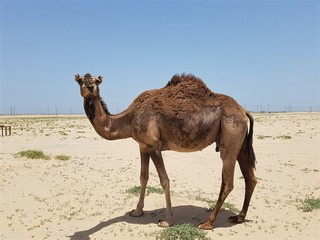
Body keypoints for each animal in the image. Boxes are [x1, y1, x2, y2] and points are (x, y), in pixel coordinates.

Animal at [75, 72, 258, 230]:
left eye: (96, 81)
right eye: (80, 81)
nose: (89, 87)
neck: (130, 117)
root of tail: (243, 111)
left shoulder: (154, 145)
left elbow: (165, 181)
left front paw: (167, 220)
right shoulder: (143, 146)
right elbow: (143, 177)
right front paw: (137, 211)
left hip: (230, 138)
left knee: (228, 182)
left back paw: (207, 223)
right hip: (240, 145)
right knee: (250, 179)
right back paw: (239, 217)